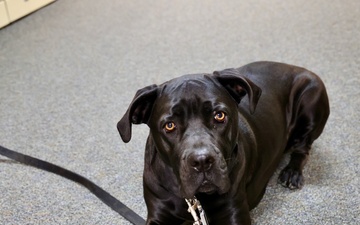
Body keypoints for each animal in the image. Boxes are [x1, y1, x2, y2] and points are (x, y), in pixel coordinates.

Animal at [117, 61, 330, 225]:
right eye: (169, 126)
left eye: (219, 115)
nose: (202, 161)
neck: (195, 200)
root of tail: (295, 66)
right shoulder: (158, 212)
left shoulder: (234, 213)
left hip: (312, 97)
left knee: (303, 147)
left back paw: (292, 172)